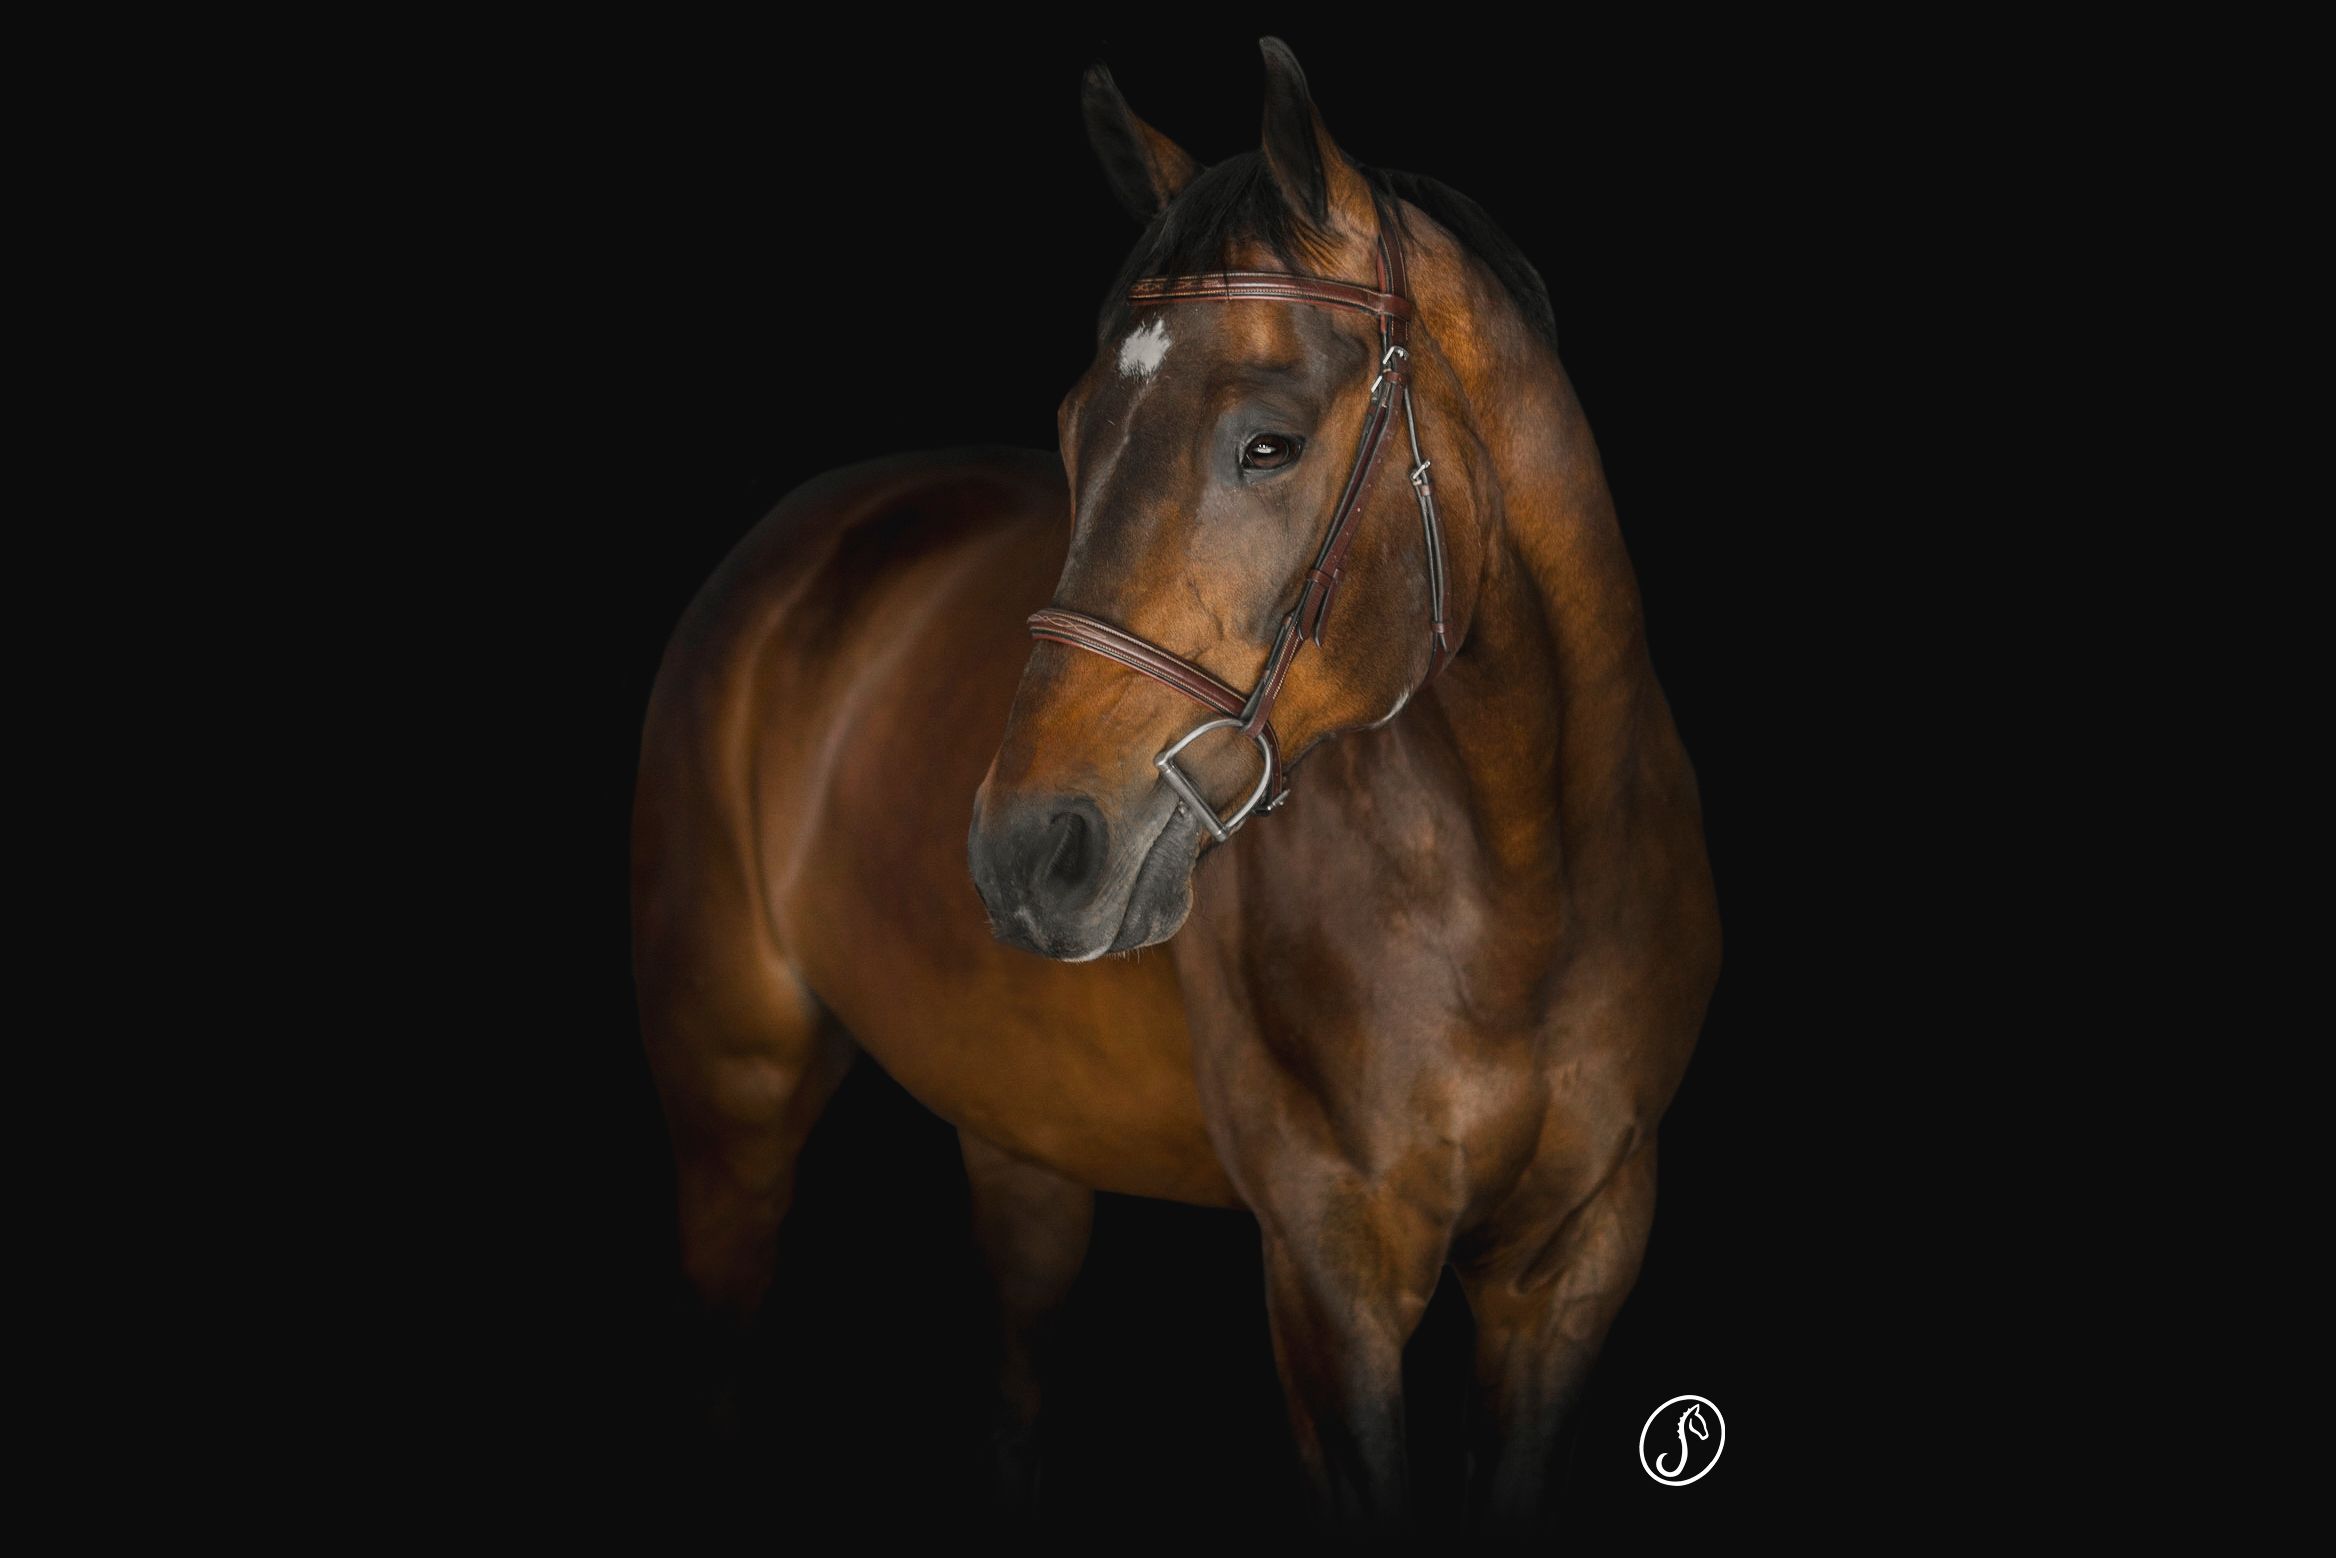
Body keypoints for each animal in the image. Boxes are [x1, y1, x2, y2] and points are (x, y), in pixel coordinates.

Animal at [630, 38, 1720, 1531]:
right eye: (1076, 426)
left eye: (1269, 441)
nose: (1029, 854)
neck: (1526, 879)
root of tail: (804, 536)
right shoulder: (1330, 1276)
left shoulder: (1575, 1260)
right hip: (730, 1104)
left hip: (1021, 1134)